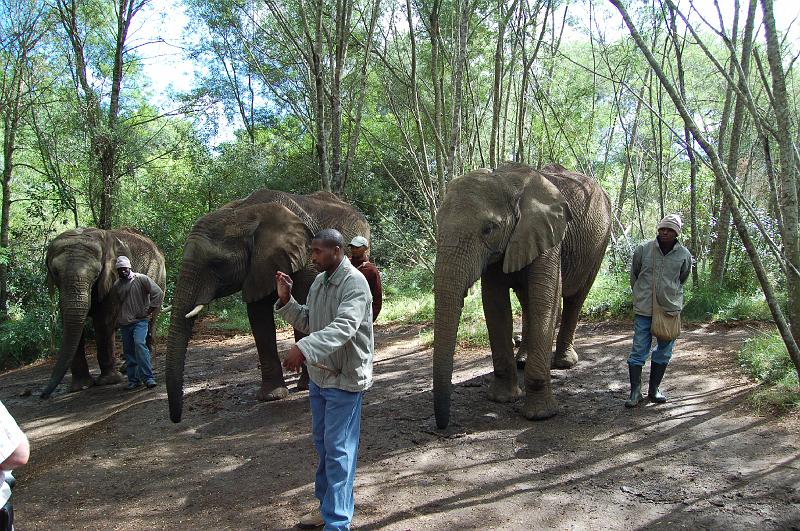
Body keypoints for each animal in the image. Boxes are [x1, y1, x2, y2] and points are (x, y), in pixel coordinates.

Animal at [41, 227, 166, 398]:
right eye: (55, 273)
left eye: (96, 274)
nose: (43, 395)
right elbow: (70, 323)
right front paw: (81, 387)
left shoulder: (111, 280)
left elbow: (103, 321)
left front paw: (108, 382)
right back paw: (125, 369)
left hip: (159, 276)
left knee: (150, 321)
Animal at [165, 189, 370, 423]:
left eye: (216, 264)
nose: (177, 420)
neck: (246, 212)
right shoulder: (257, 267)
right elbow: (259, 318)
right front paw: (272, 396)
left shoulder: (306, 258)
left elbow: (306, 305)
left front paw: (305, 385)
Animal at [433, 163, 611, 428]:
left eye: (489, 229)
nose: (443, 426)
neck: (507, 181)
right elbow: (495, 305)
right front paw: (502, 399)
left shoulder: (548, 236)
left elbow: (545, 301)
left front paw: (540, 415)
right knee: (528, 300)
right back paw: (522, 362)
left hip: (601, 242)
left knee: (575, 298)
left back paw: (564, 363)